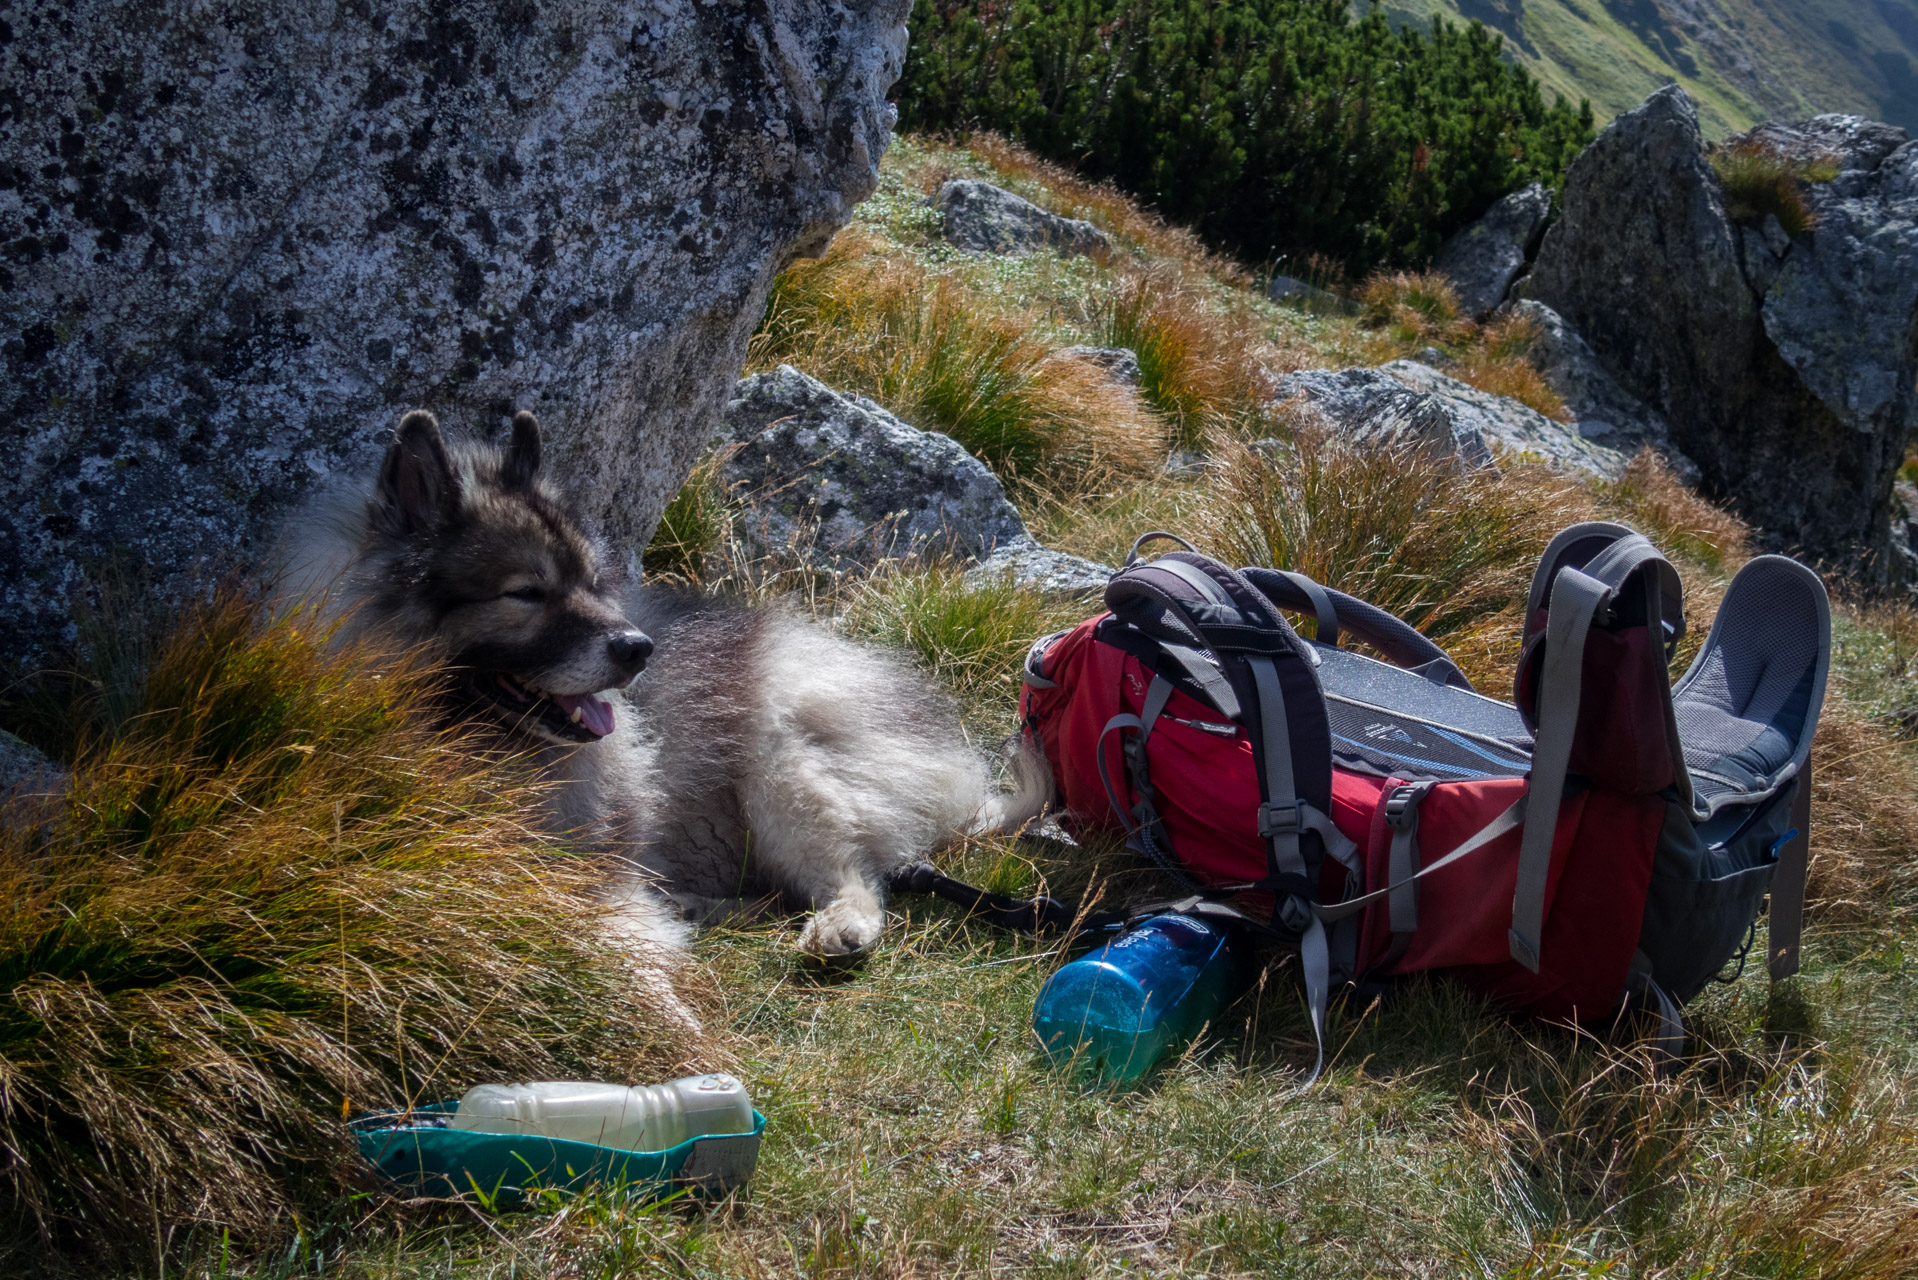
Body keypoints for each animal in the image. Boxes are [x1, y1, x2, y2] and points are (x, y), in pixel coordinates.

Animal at [280, 410, 1051, 959]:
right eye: (526, 592)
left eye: (592, 583)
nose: (638, 649)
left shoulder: (602, 856)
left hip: (783, 763)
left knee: (860, 878)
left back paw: (837, 928)